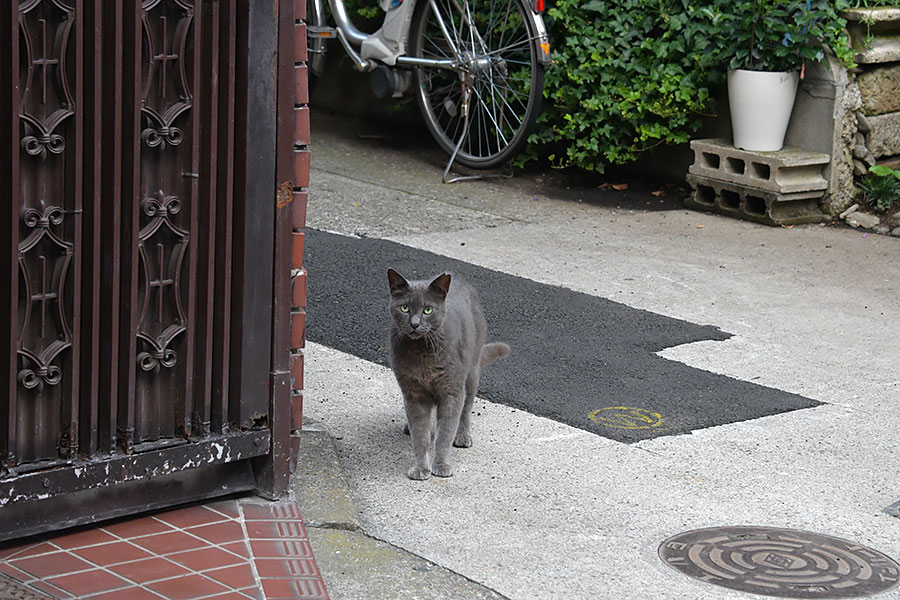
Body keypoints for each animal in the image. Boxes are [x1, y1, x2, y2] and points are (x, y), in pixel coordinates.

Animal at [386, 270, 510, 480]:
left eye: (428, 310)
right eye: (404, 308)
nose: (414, 324)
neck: (421, 354)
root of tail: (458, 278)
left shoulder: (451, 391)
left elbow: (445, 433)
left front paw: (442, 466)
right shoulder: (412, 393)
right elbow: (420, 435)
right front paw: (421, 468)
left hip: (471, 373)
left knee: (466, 409)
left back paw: (462, 436)